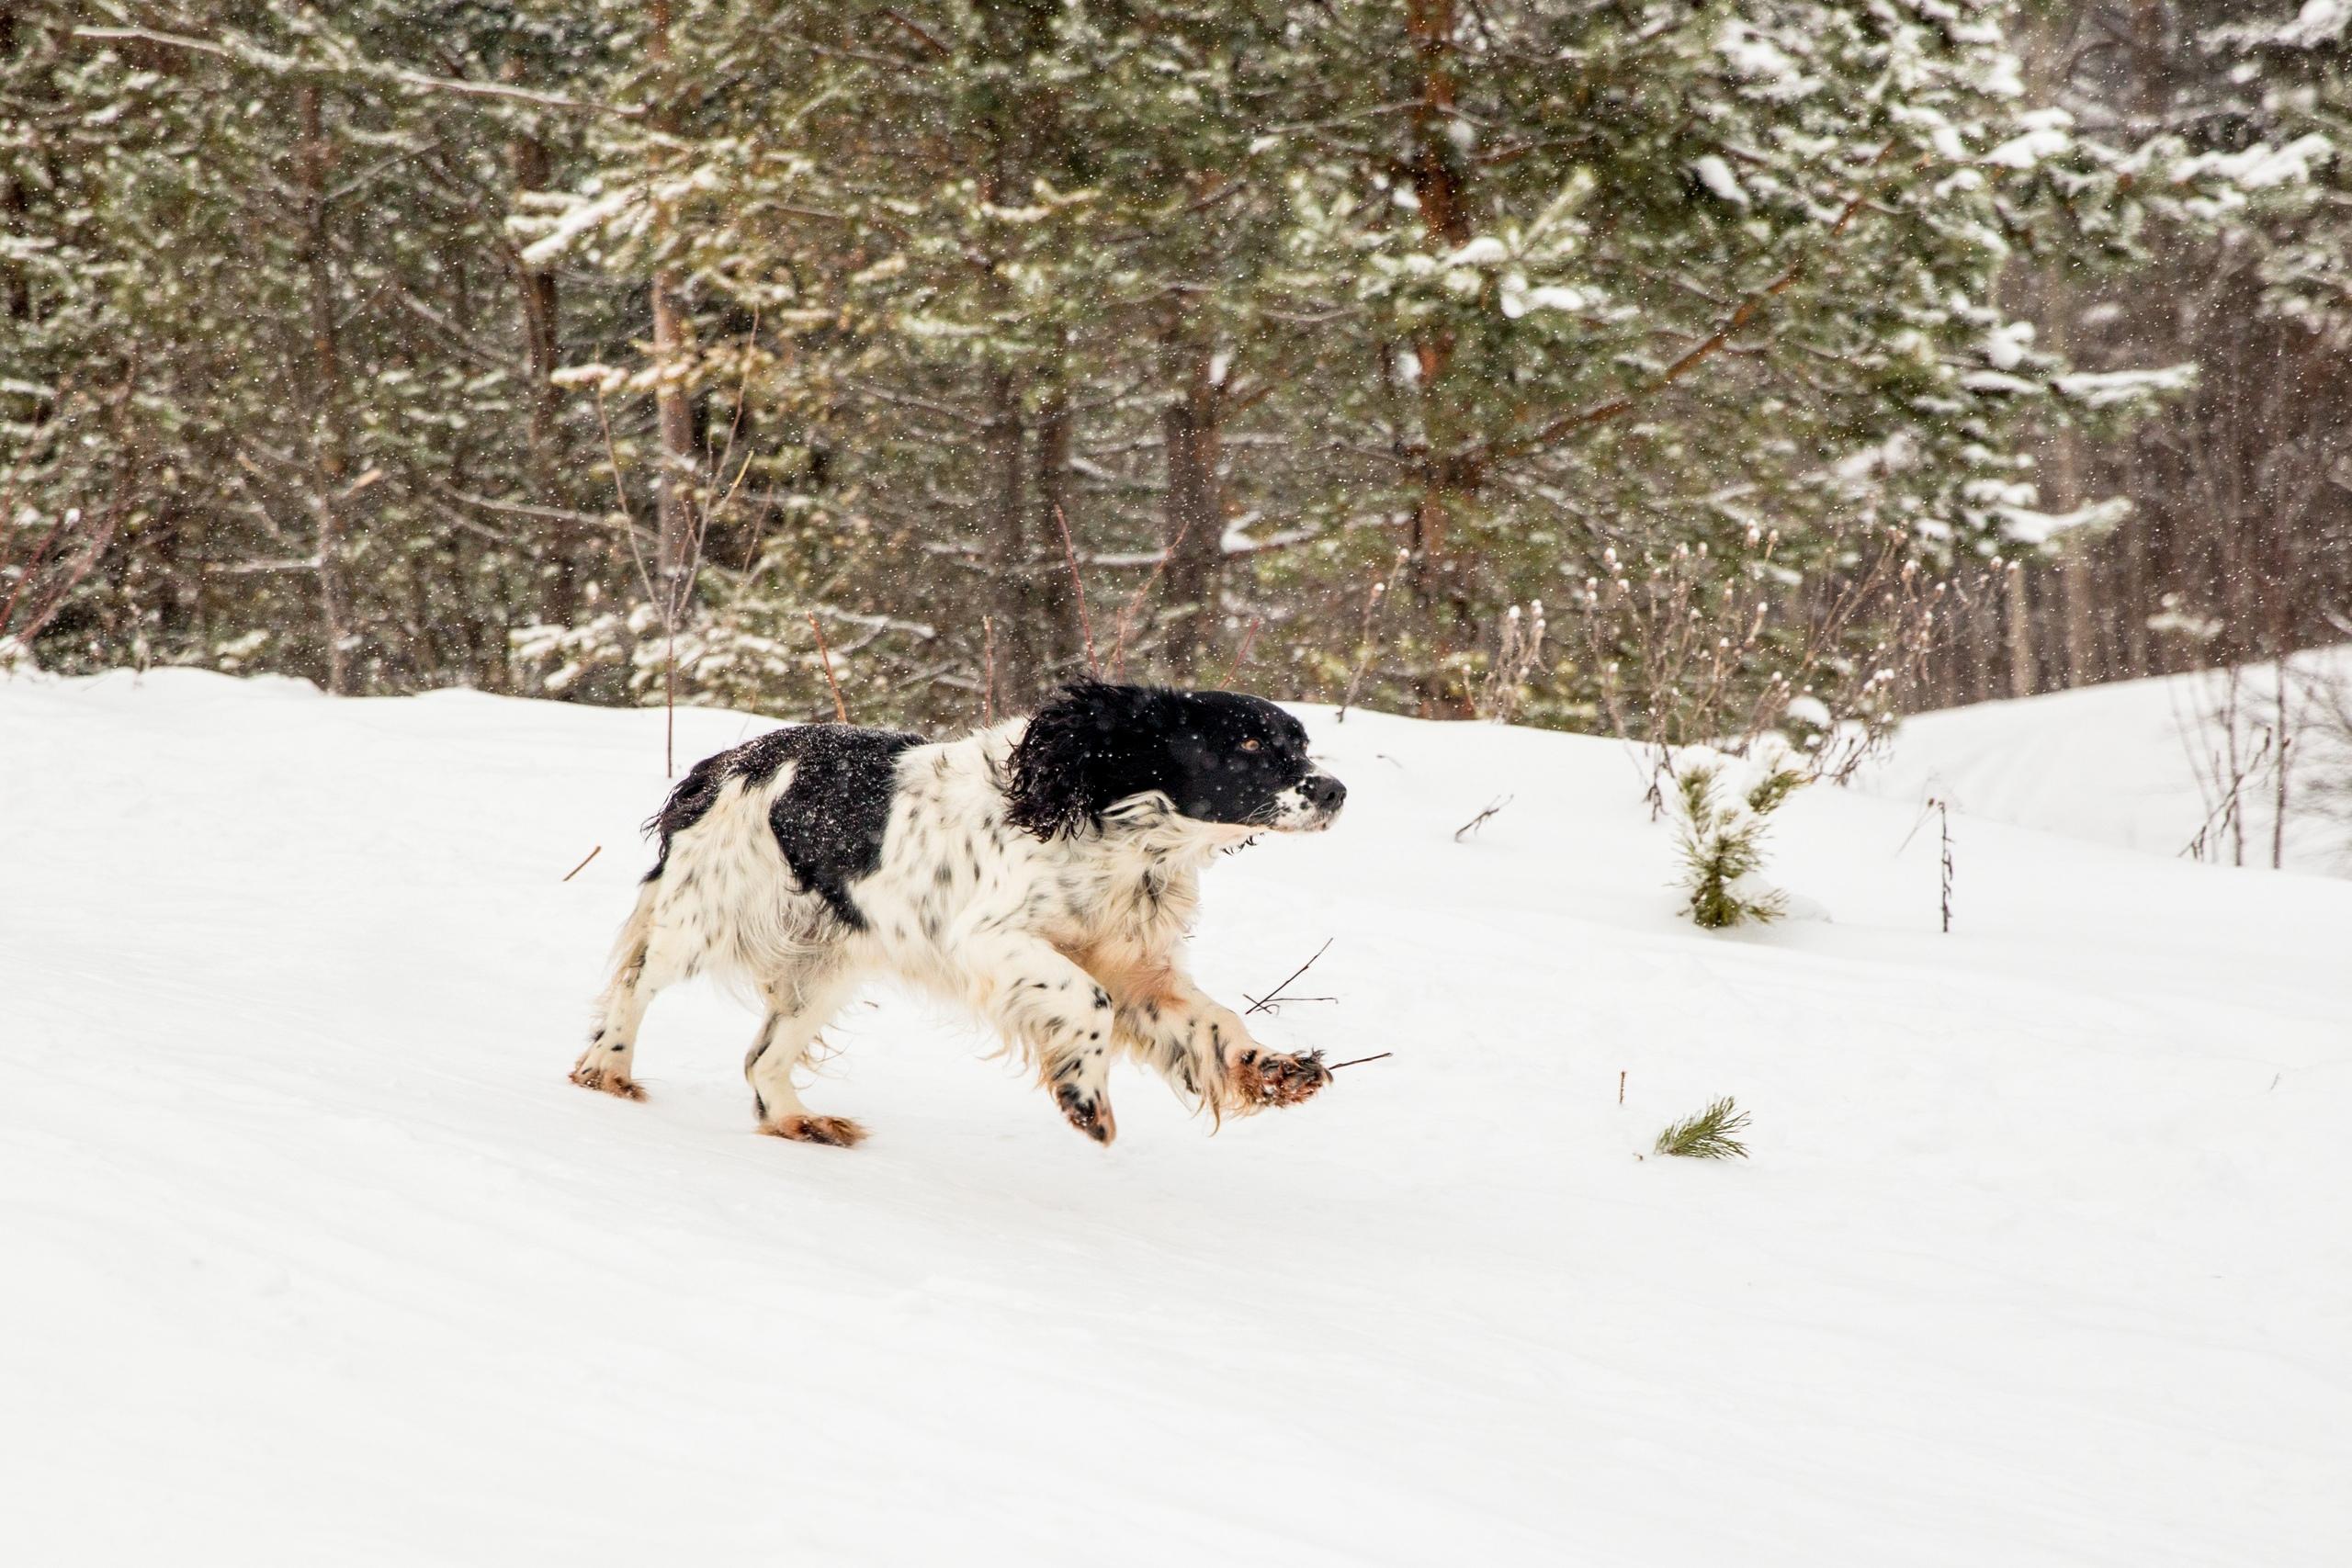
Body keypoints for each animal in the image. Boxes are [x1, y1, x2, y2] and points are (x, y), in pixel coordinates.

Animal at [561, 682, 1354, 1146]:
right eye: (1246, 741)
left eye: (1300, 743)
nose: (1336, 790)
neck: (1104, 818)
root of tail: (722, 762)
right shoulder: (990, 940)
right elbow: (1088, 1002)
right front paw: (1084, 1097)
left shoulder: (1139, 969)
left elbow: (1213, 1024)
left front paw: (1277, 1070)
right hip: (705, 916)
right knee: (634, 983)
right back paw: (607, 1070)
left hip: (827, 963)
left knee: (762, 1057)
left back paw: (797, 1119)